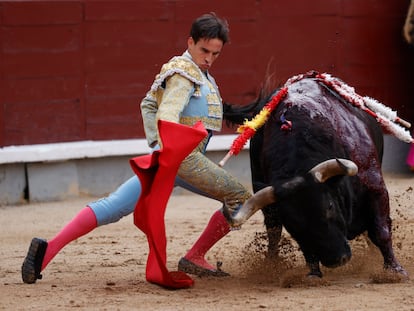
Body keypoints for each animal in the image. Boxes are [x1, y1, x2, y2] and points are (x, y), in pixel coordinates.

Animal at [223, 75, 408, 278]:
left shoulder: (375, 187)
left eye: (329, 206)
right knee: (273, 234)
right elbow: (302, 246)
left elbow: (381, 231)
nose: (337, 260)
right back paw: (271, 263)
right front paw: (313, 274)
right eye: (292, 224)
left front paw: (395, 271)